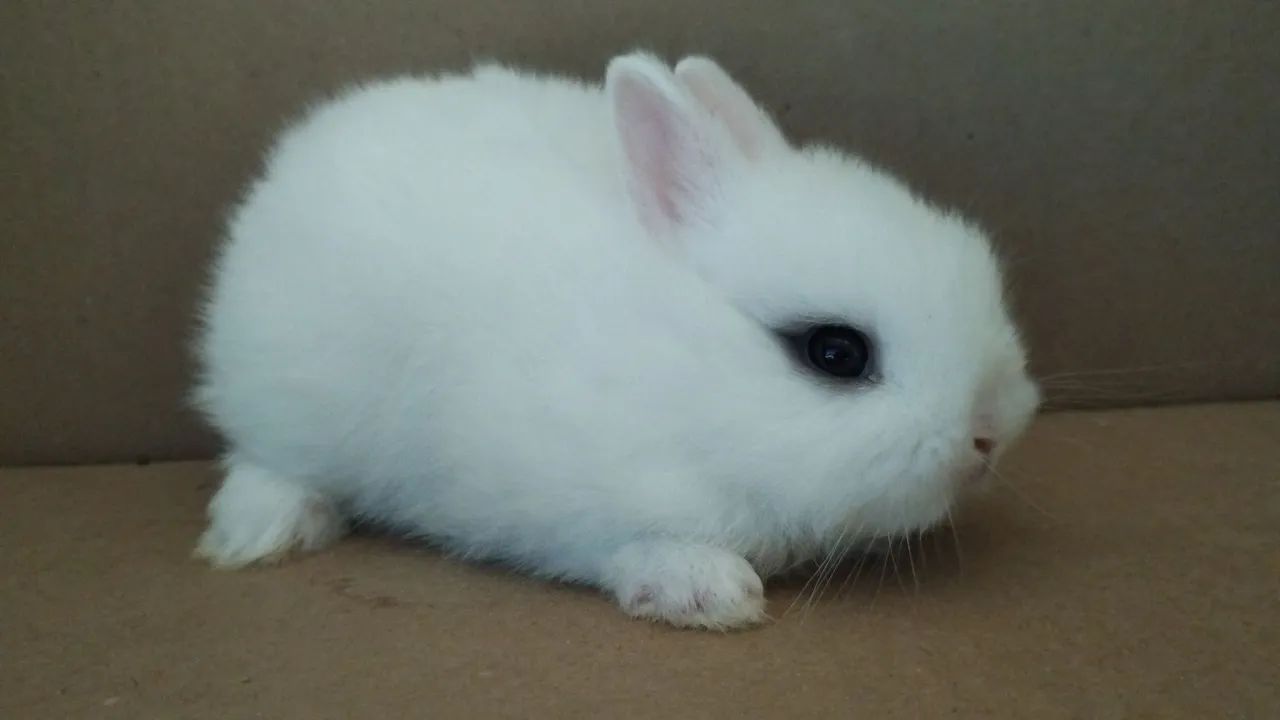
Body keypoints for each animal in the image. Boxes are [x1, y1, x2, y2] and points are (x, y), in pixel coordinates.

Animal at [191, 50, 1040, 630]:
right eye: (835, 352)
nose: (988, 438)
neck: (679, 368)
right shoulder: (554, 498)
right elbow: (624, 545)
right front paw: (709, 591)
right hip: (285, 399)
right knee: (263, 457)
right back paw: (261, 533)